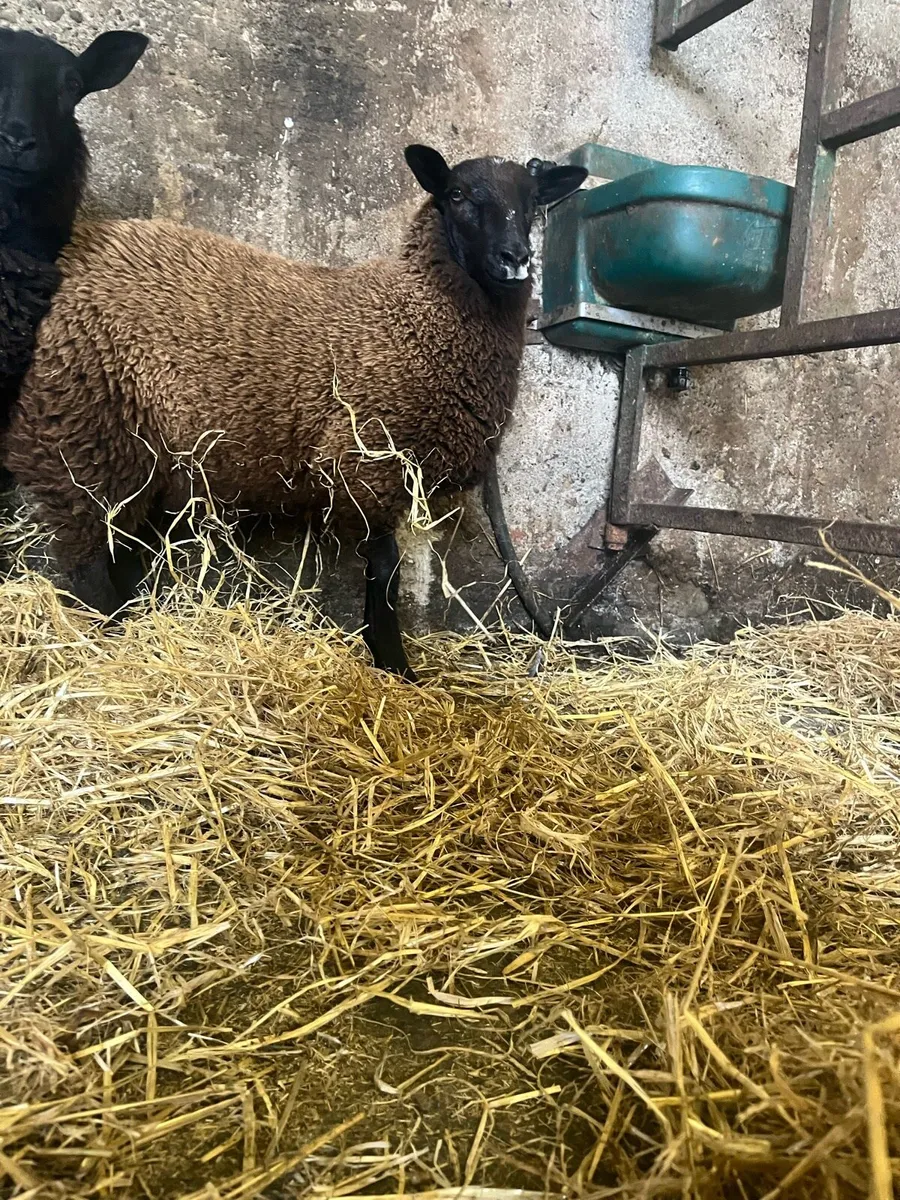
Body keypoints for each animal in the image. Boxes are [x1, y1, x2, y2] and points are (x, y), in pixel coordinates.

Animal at [7, 145, 587, 680]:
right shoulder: (367, 464)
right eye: (459, 195)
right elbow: (385, 572)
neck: (414, 311)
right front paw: (395, 667)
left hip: (130, 457)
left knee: (118, 548)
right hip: (79, 432)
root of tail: (70, 252)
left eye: (533, 202)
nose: (516, 258)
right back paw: (108, 639)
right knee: (86, 559)